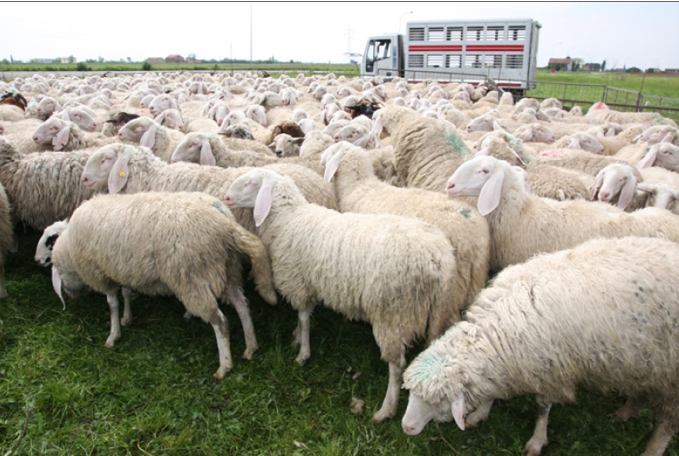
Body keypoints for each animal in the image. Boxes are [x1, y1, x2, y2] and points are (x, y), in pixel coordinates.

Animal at [51, 192, 277, 379]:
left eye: (59, 272)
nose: (70, 295)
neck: (70, 246)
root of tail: (221, 219)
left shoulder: (100, 273)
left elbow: (112, 304)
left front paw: (113, 335)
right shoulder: (124, 269)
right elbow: (126, 293)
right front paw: (127, 317)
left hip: (193, 277)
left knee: (220, 322)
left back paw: (224, 367)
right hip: (227, 267)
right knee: (242, 305)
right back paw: (250, 347)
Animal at [224, 168, 458, 422]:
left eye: (250, 182)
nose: (226, 198)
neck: (288, 218)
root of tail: (438, 257)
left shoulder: (299, 283)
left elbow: (304, 318)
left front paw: (303, 353)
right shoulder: (308, 284)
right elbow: (302, 318)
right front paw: (296, 337)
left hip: (393, 314)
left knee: (397, 365)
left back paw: (385, 410)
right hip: (439, 311)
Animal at [402, 236, 679, 456]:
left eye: (438, 400)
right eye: (411, 393)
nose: (405, 427)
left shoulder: (549, 369)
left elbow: (542, 408)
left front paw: (537, 441)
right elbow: (492, 390)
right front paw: (480, 412)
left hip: (670, 375)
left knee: (667, 422)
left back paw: (653, 449)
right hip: (646, 359)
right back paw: (628, 410)